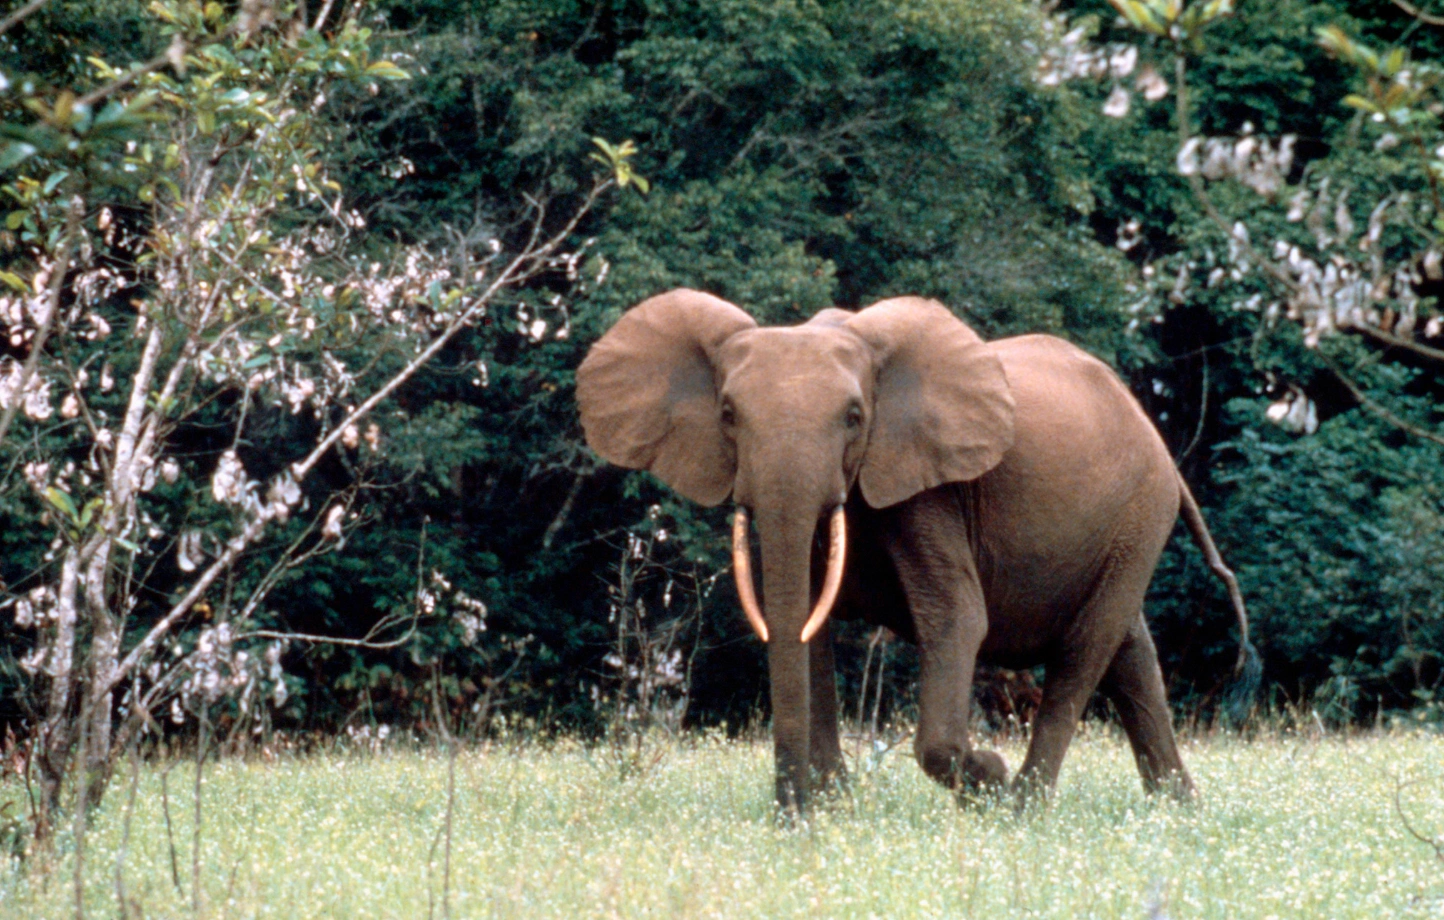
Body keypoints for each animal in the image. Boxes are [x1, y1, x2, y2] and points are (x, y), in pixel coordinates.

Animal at [574, 288, 1253, 808]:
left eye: (854, 416)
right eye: (728, 414)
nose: (789, 817)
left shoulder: (928, 490)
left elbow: (956, 618)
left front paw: (985, 777)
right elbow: (804, 620)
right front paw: (834, 806)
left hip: (1141, 512)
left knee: (1086, 650)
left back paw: (1023, 807)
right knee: (1131, 654)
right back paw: (1178, 811)